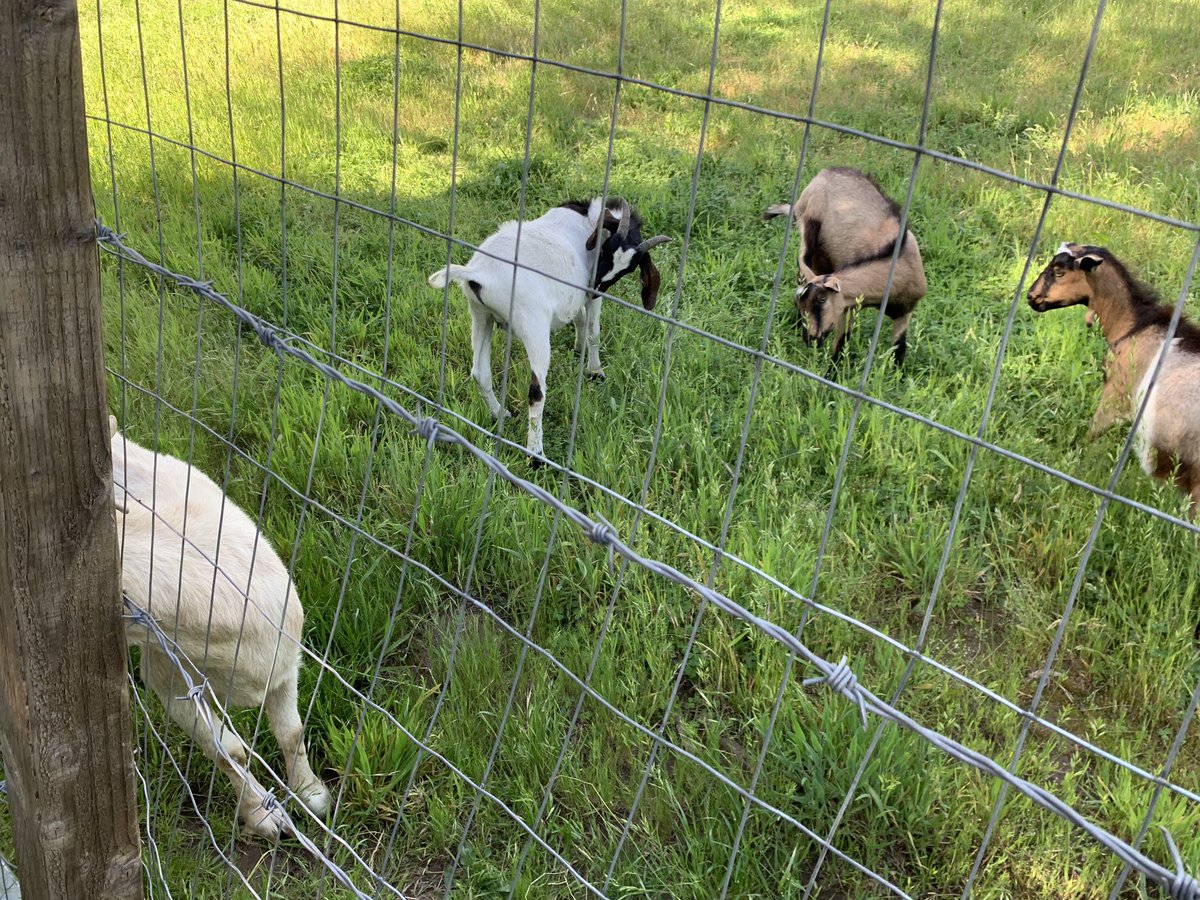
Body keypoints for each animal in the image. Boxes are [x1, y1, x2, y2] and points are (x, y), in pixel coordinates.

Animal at [112, 417, 332, 839]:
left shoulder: (284, 667)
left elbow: (292, 733)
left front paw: (312, 794)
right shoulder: (170, 680)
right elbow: (229, 752)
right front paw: (263, 816)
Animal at [428, 197, 671, 460]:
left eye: (628, 269)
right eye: (605, 249)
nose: (594, 285)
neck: (587, 220)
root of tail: (478, 273)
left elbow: (579, 319)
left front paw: (578, 349)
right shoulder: (590, 298)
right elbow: (593, 330)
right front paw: (595, 371)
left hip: (481, 316)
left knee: (480, 373)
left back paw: (501, 414)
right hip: (533, 326)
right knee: (536, 391)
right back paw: (536, 455)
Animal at [763, 167, 927, 365]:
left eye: (822, 299)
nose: (810, 339)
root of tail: (824, 172)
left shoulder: (904, 311)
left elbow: (899, 350)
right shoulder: (847, 307)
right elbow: (841, 345)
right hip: (809, 229)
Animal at [1028, 242, 1200, 516]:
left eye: (1059, 272)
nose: (1030, 297)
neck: (1134, 327)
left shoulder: (1116, 393)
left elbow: (1093, 431)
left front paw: (1073, 463)